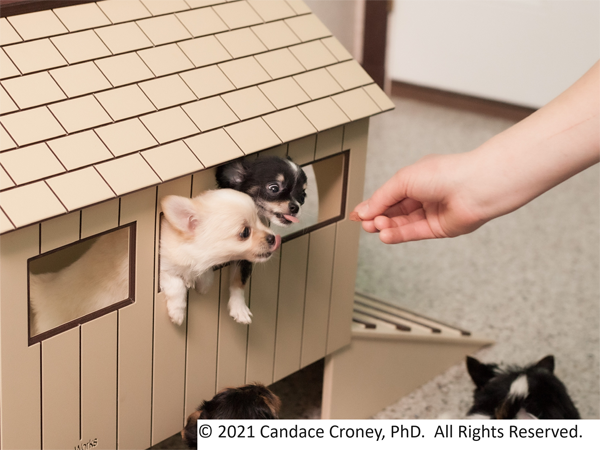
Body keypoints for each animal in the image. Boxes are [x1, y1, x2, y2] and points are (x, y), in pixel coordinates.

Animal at [159, 188, 282, 326]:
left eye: (259, 219)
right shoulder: (163, 269)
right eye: (245, 232)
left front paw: (201, 284)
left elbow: (207, 277)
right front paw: (177, 313)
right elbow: (176, 285)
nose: (273, 238)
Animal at [216, 156, 308, 324]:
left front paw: (239, 307)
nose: (295, 207)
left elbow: (240, 278)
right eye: (274, 188)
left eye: (303, 195)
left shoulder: (248, 253)